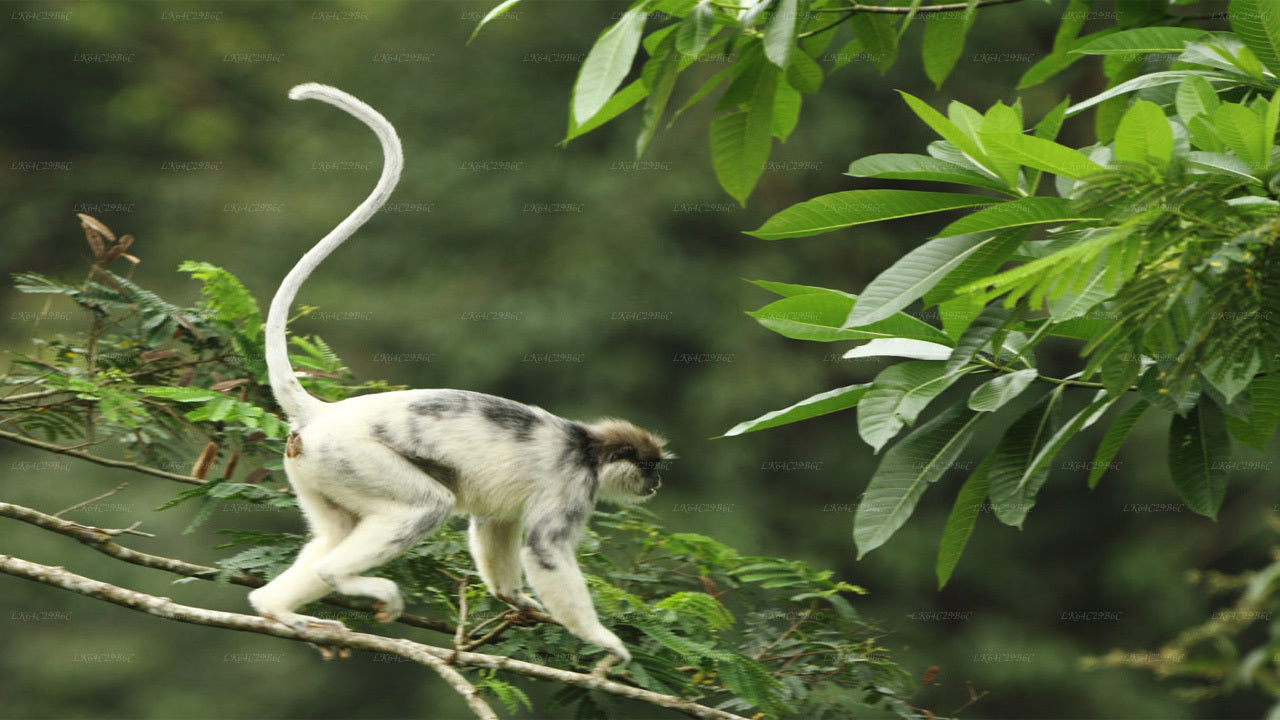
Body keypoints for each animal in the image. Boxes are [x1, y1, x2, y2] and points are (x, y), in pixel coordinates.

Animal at [244, 81, 675, 661]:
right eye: (648, 467)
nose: (656, 483)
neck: (587, 446)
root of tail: (325, 414)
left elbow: (494, 526)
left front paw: (516, 602)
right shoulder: (573, 483)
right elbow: (544, 551)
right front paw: (605, 643)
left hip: (315, 467)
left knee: (333, 534)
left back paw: (274, 608)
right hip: (352, 456)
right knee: (425, 507)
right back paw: (339, 578)